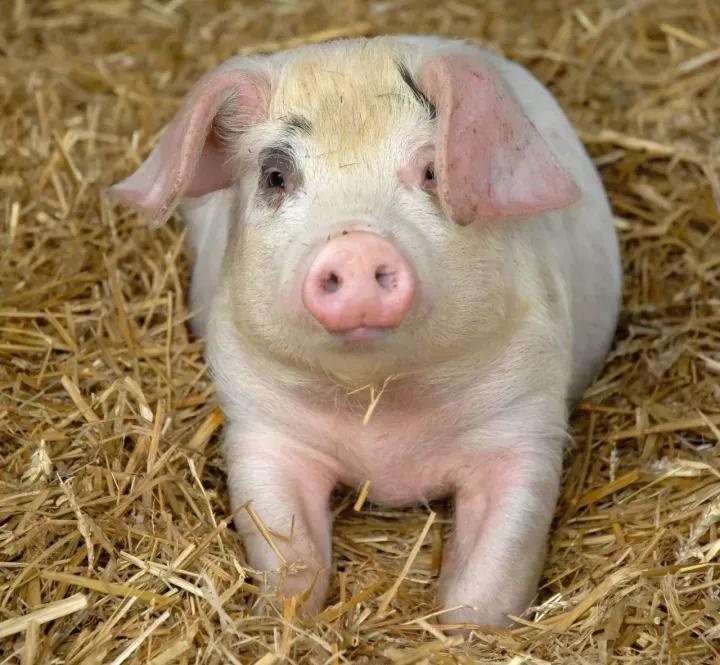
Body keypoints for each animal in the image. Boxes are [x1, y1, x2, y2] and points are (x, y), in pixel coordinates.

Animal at [109, 36, 620, 628]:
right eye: (275, 176)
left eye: (431, 171)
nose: (354, 245)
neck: (382, 415)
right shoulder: (260, 427)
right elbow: (288, 553)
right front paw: (283, 620)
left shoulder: (524, 422)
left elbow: (492, 576)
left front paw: (463, 631)